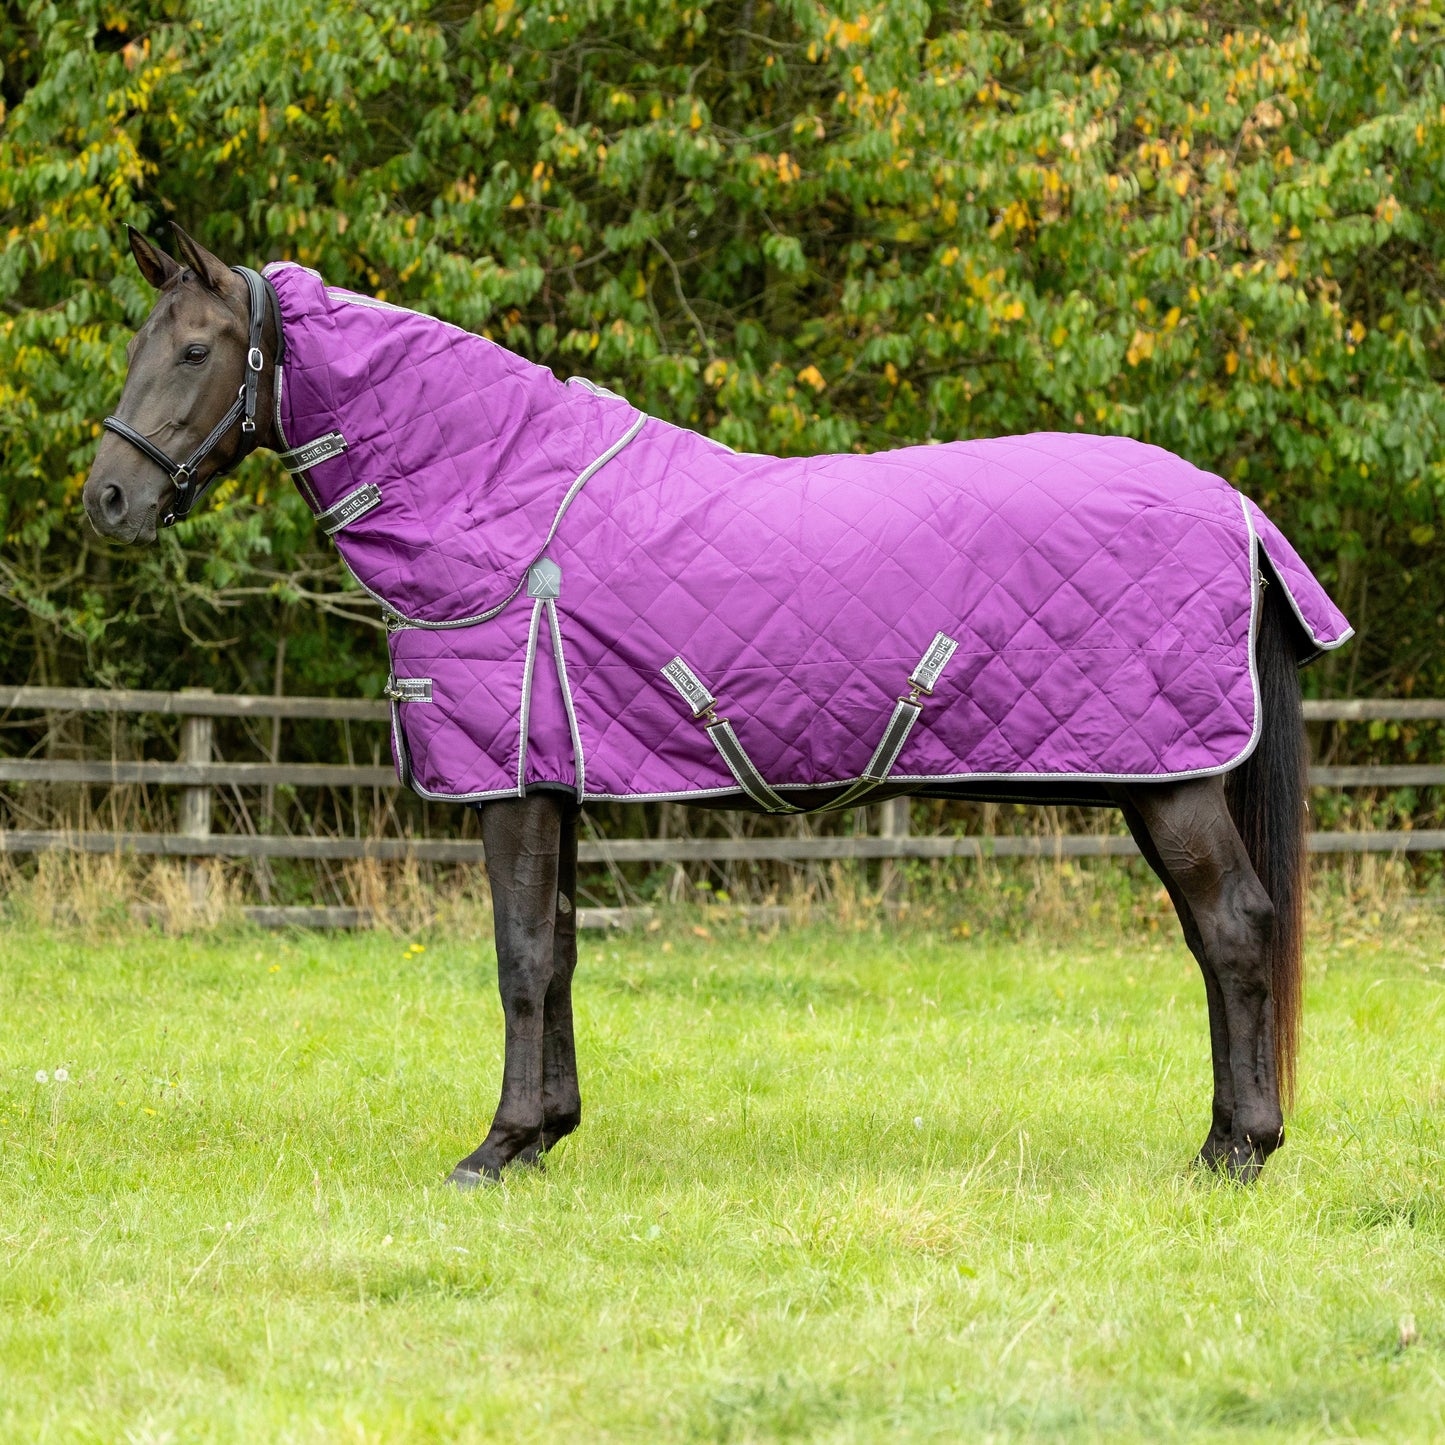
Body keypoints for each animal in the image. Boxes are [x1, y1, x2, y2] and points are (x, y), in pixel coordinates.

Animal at [83, 223, 1350, 1187]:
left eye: (193, 348)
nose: (108, 500)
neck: (501, 502)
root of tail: (1234, 507)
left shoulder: (510, 785)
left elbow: (518, 954)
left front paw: (495, 1148)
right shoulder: (558, 783)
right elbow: (561, 951)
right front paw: (546, 1133)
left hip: (1170, 781)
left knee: (1233, 929)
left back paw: (1234, 1151)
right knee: (1216, 937)